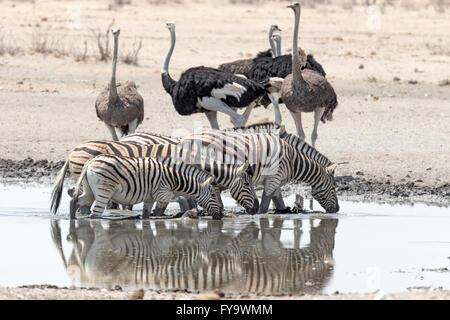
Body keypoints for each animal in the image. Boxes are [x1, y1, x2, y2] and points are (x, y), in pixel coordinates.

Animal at [68, 155, 223, 220]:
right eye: (213, 195)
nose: (220, 217)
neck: (174, 178)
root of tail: (90, 161)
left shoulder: (150, 198)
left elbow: (146, 215)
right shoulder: (162, 192)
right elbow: (181, 199)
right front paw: (188, 213)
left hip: (90, 190)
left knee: (78, 201)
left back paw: (73, 219)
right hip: (104, 192)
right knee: (94, 214)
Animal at [176, 130, 338, 215]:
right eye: (334, 187)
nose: (337, 209)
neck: (292, 160)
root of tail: (183, 139)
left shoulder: (274, 179)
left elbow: (277, 197)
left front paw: (284, 210)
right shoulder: (274, 178)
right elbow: (266, 201)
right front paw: (262, 215)